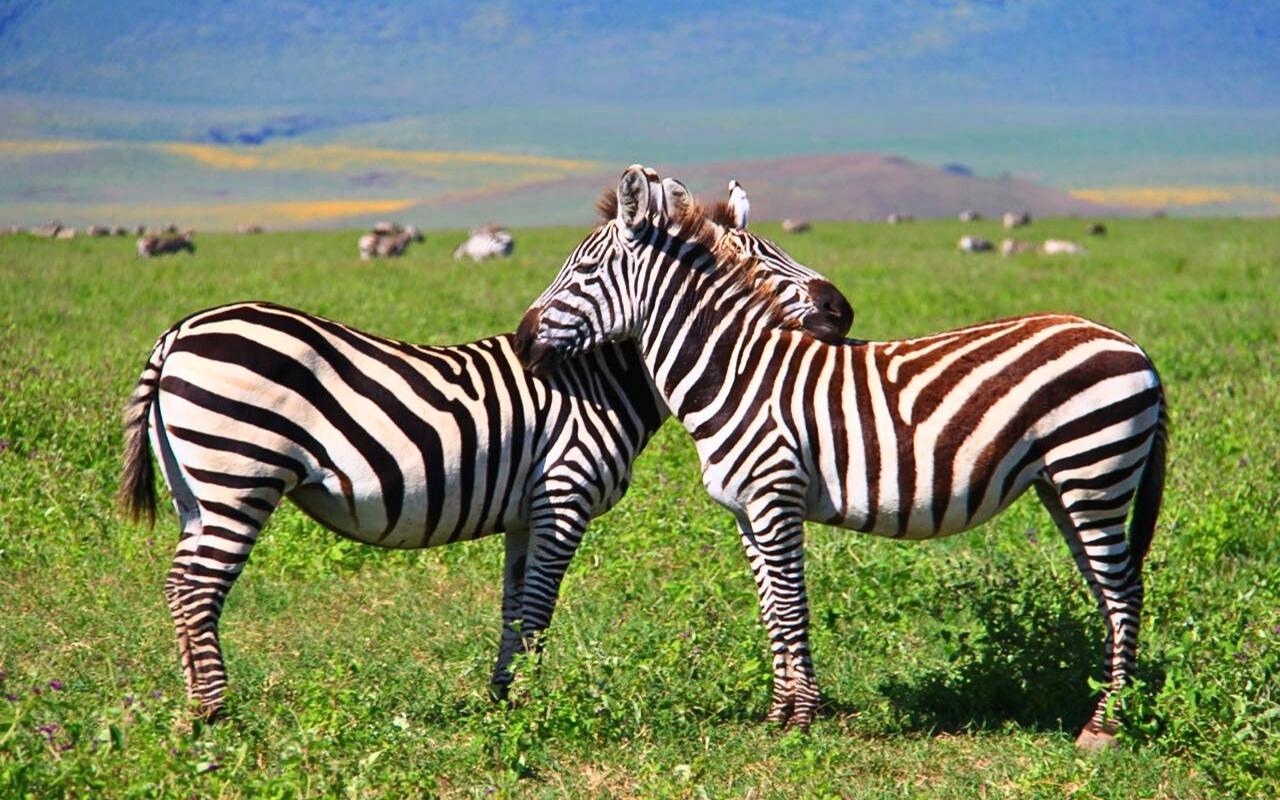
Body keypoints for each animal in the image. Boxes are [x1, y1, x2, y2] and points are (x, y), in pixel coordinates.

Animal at [120, 176, 855, 721]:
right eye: (756, 263)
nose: (843, 311)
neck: (595, 377)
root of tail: (179, 332)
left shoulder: (526, 513)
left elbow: (514, 606)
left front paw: (502, 698)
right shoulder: (563, 496)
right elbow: (539, 608)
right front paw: (529, 704)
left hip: (196, 488)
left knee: (178, 583)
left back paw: (195, 704)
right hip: (236, 475)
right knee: (198, 587)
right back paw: (216, 712)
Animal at [512, 165, 1172, 752]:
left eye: (584, 269)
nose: (520, 340)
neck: (736, 372)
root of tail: (1136, 347)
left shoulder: (776, 498)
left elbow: (792, 607)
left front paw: (802, 720)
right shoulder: (747, 512)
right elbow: (771, 611)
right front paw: (778, 716)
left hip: (1094, 470)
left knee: (1124, 592)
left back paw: (1105, 727)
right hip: (1067, 484)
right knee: (1109, 590)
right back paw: (1105, 704)